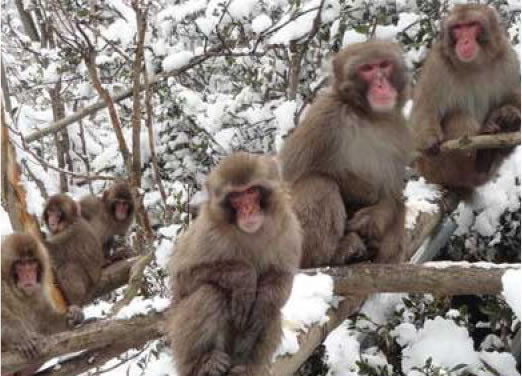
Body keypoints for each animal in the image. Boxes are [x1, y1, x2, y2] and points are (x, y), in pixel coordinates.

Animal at [165, 153, 302, 376]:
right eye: (236, 196)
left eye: (251, 191)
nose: (248, 209)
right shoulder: (207, 233)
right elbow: (181, 279)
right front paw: (243, 278)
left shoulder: (289, 228)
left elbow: (282, 276)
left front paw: (261, 304)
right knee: (209, 293)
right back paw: (204, 361)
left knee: (271, 307)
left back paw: (248, 365)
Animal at [278, 39, 412, 266]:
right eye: (367, 69)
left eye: (383, 65)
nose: (381, 83)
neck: (367, 117)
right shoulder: (325, 119)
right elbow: (283, 182)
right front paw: (359, 189)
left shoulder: (398, 132)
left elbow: (391, 193)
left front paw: (372, 219)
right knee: (318, 183)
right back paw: (334, 254)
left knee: (400, 206)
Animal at [408, 3, 516, 191]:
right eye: (458, 28)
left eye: (472, 25)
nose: (465, 41)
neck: (474, 64)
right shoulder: (437, 67)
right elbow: (425, 109)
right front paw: (429, 140)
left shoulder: (508, 58)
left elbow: (515, 99)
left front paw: (510, 113)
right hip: (434, 170)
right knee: (459, 117)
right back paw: (479, 159)